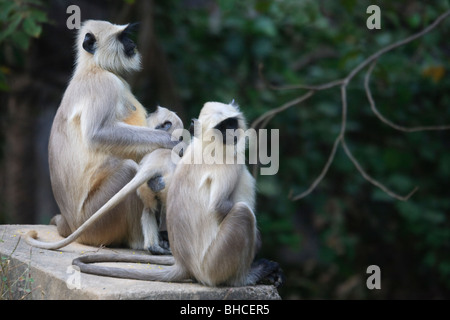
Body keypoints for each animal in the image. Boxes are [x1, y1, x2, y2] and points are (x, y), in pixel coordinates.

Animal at [24, 21, 183, 254]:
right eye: (122, 36)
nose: (131, 43)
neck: (93, 67)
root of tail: (72, 226)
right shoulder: (103, 83)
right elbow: (97, 134)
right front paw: (171, 140)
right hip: (97, 221)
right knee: (129, 170)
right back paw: (142, 243)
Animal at [72, 102, 284, 288]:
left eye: (231, 123)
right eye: (223, 127)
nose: (231, 133)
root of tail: (185, 266)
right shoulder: (230, 162)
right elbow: (218, 205)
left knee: (149, 208)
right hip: (213, 265)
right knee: (242, 212)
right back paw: (248, 277)